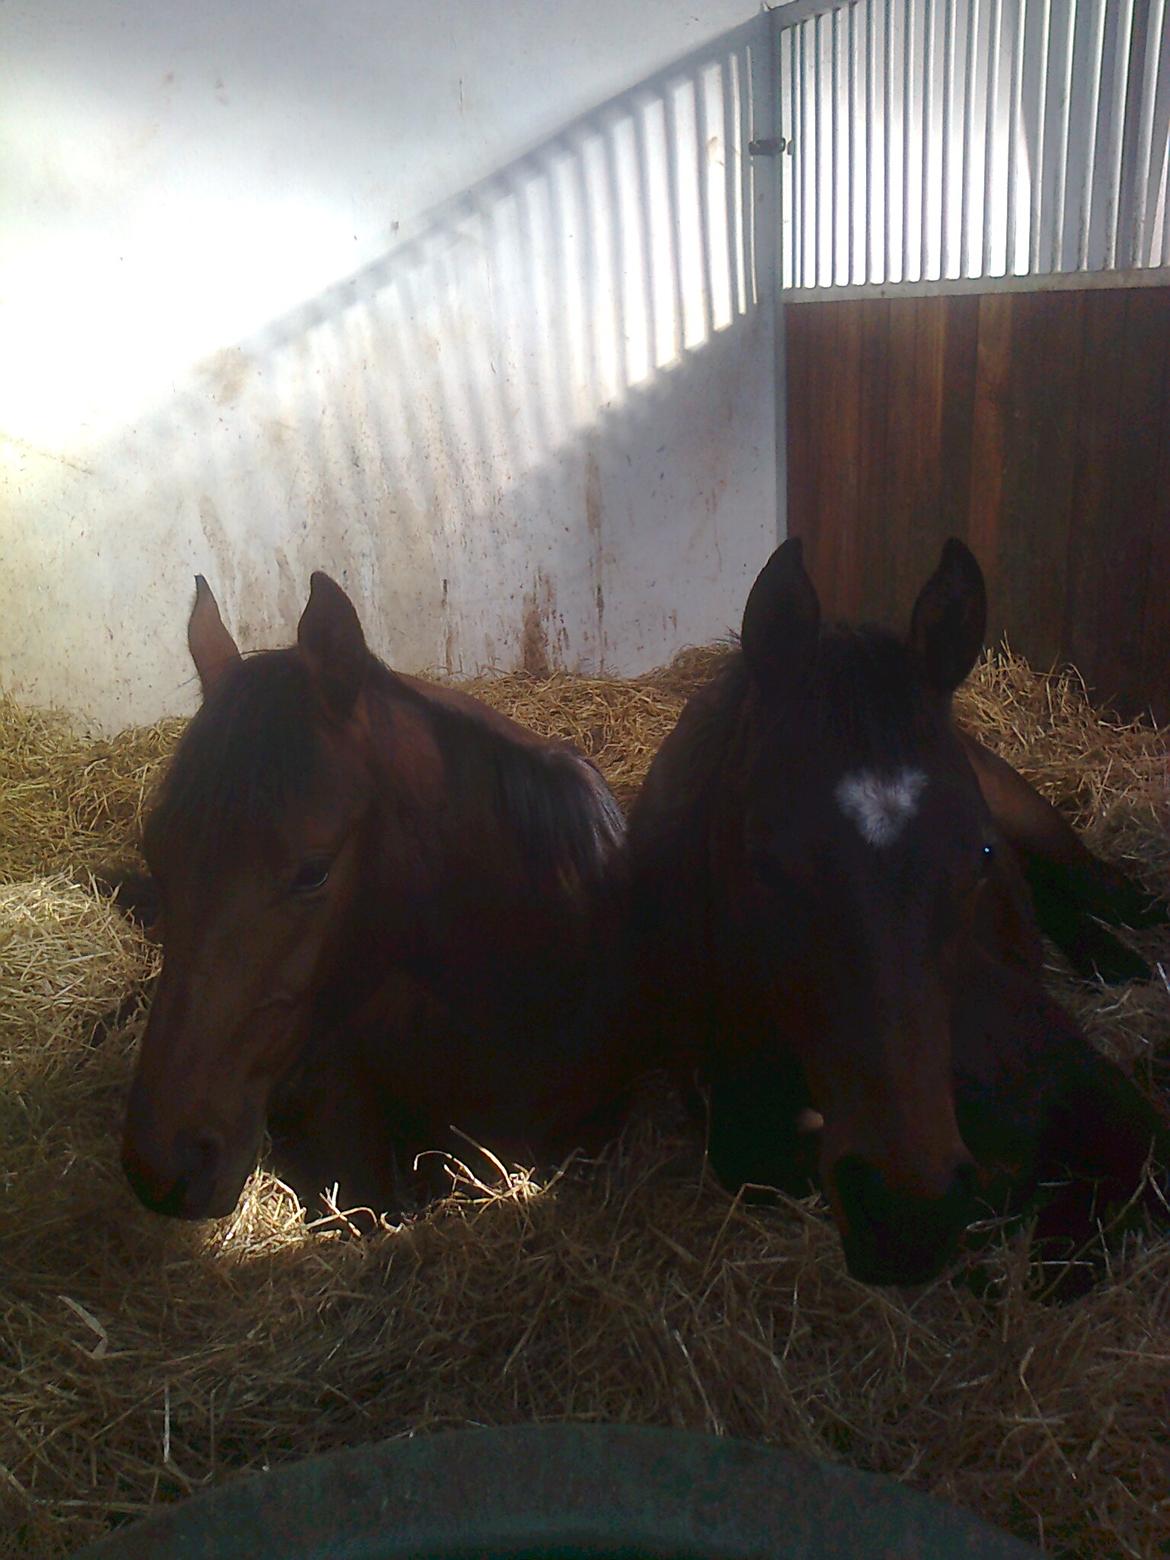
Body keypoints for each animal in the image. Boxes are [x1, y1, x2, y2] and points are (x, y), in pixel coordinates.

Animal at [633, 542, 1170, 1285]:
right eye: (763, 860)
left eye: (979, 853)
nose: (908, 1211)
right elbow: (756, 1165)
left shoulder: (1083, 1077)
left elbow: (1115, 1173)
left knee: (1102, 887)